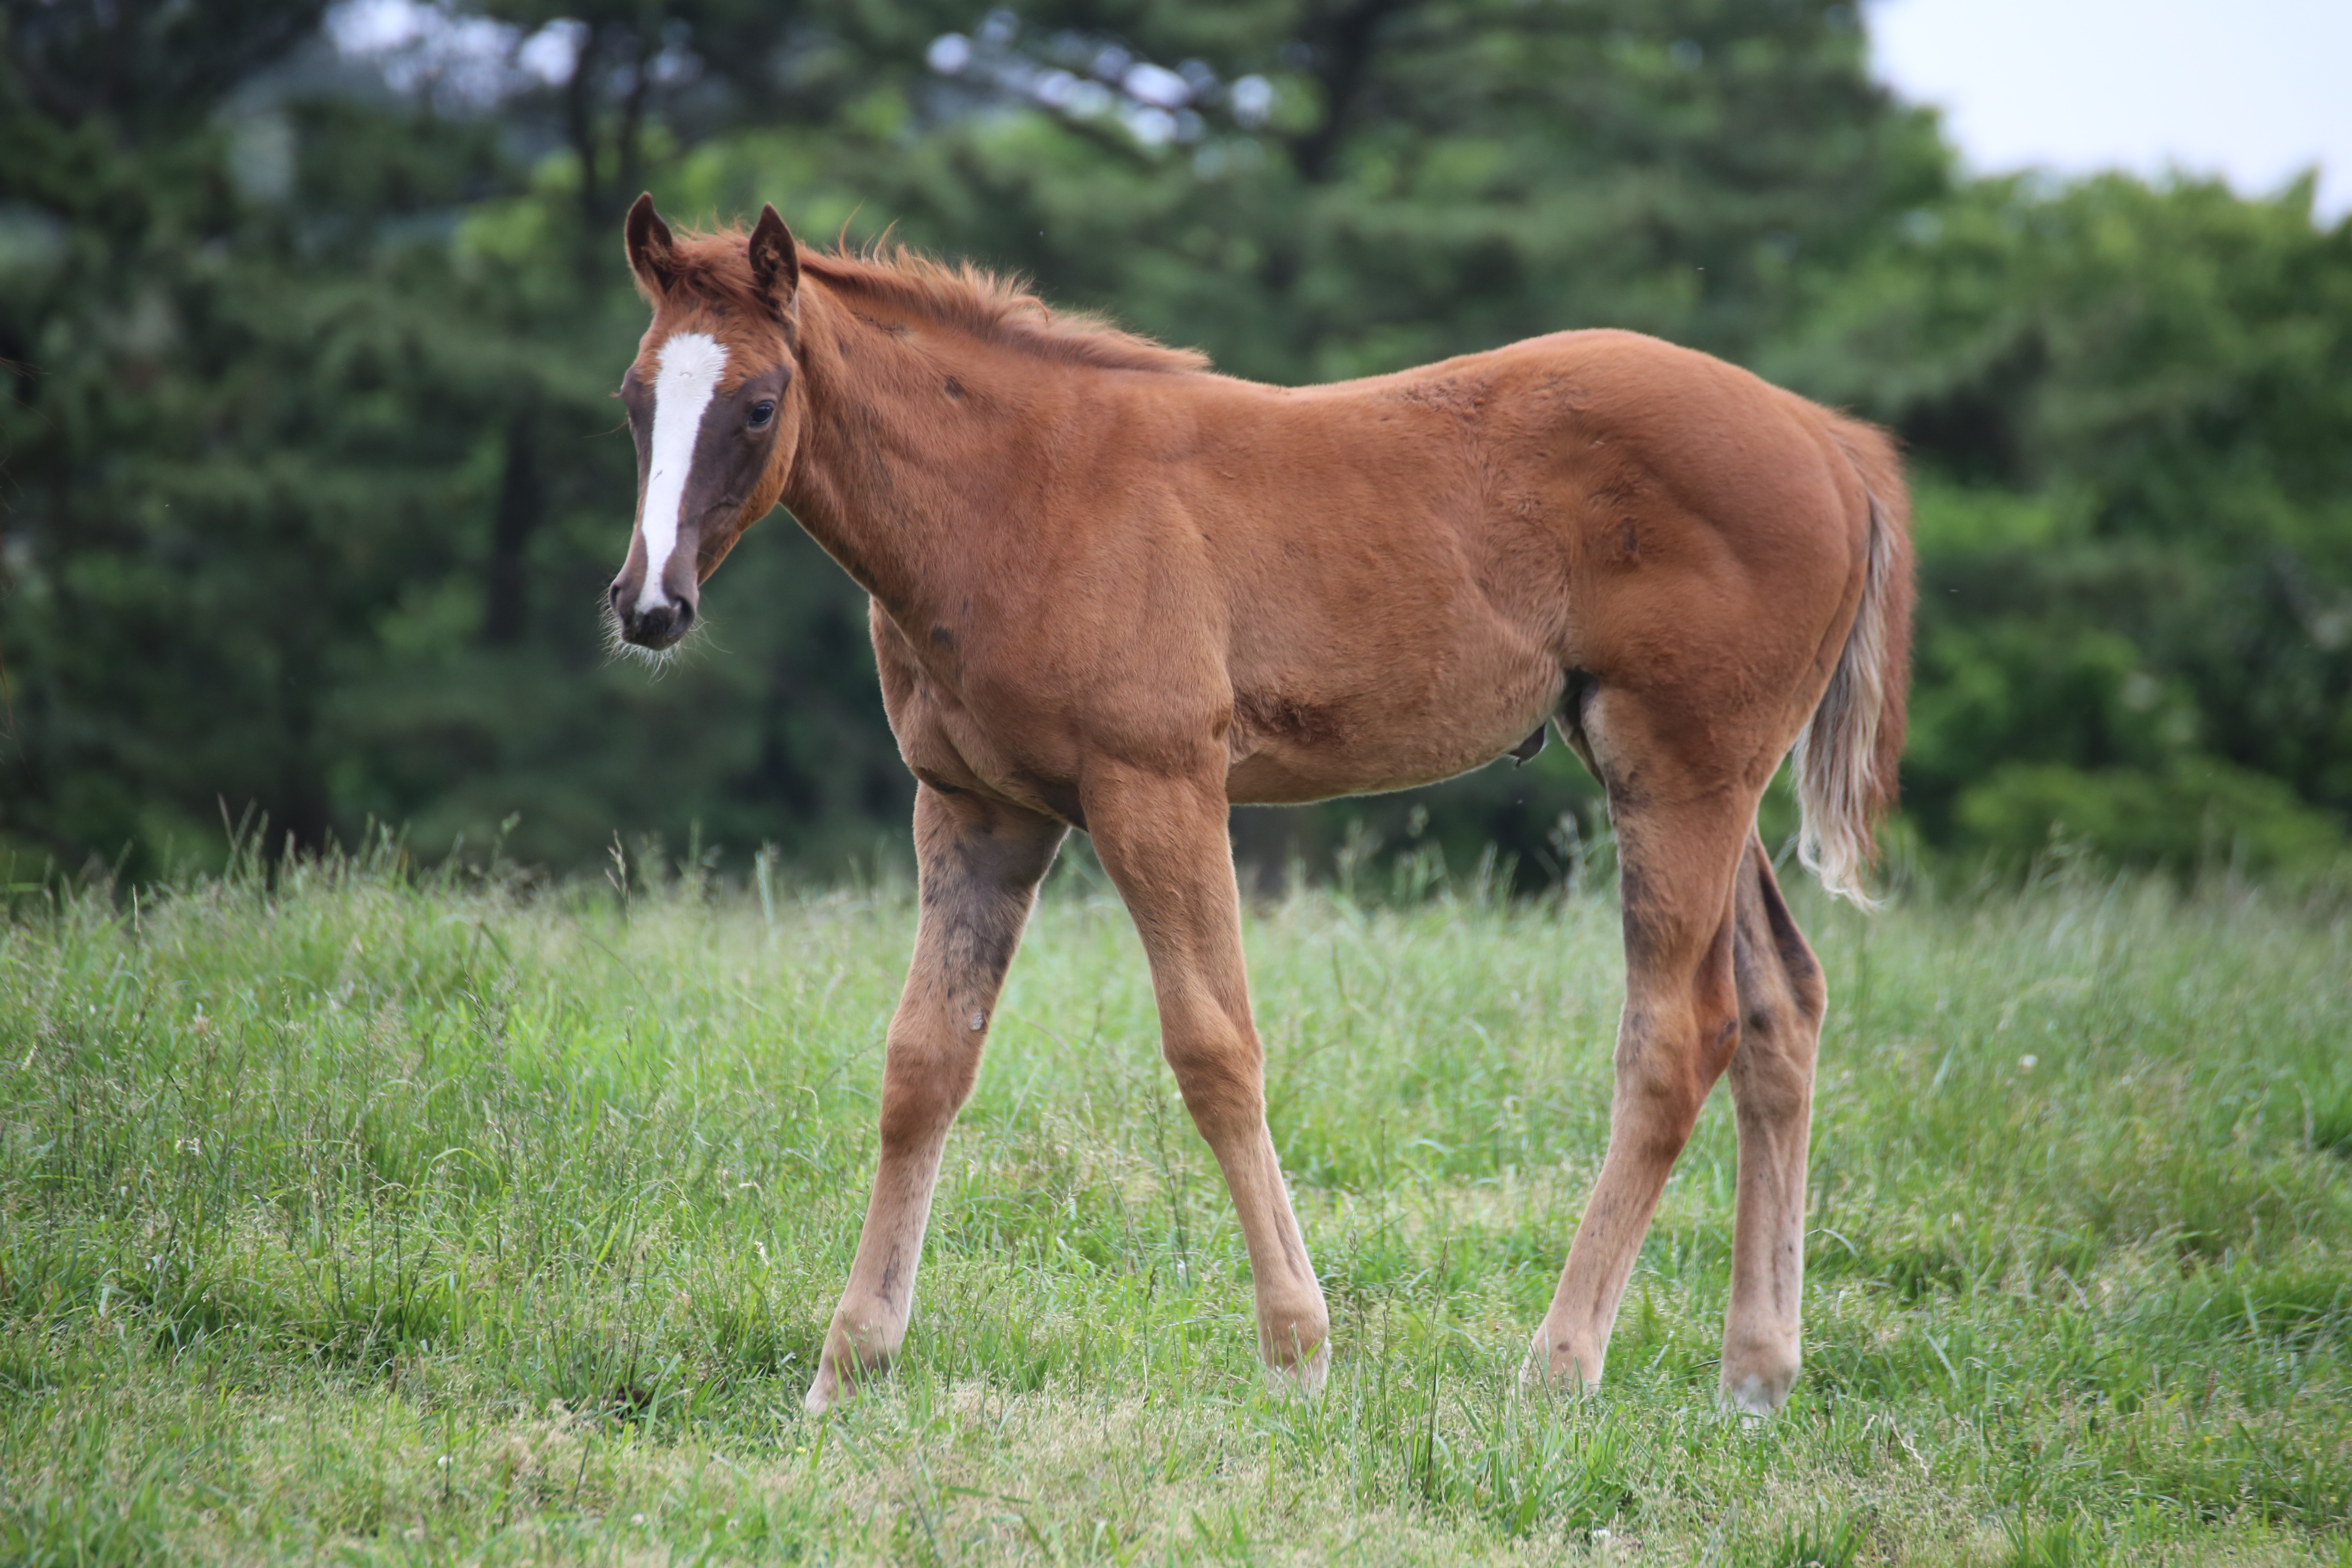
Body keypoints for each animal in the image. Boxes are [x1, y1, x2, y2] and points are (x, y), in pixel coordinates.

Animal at [602, 196, 1910, 1420]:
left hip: (1679, 771)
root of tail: (1828, 441)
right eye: (631, 400)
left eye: (758, 403)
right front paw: (848, 1366)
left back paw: (1557, 1367)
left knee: (1678, 1033)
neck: (1018, 494)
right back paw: (1755, 1375)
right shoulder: (976, 809)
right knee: (1781, 1004)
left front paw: (1297, 1351)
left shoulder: (1157, 788)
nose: (649, 603)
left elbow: (1214, 1048)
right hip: (1684, 777)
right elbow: (925, 1060)